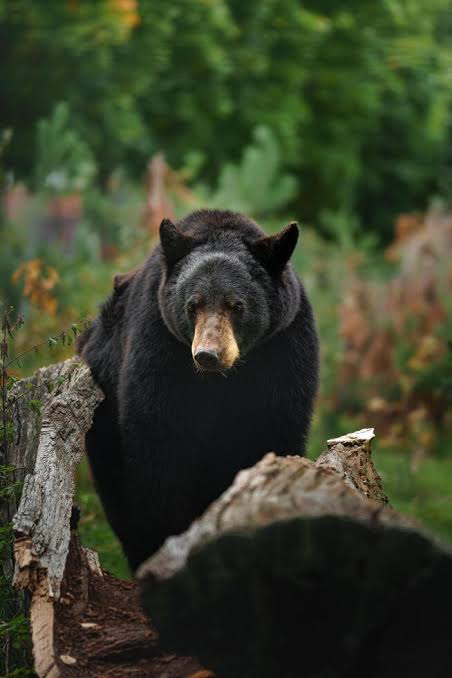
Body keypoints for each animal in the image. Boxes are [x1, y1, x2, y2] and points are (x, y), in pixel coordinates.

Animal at [77, 209, 319, 571]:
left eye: (236, 305)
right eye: (193, 305)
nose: (208, 354)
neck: (222, 379)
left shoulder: (283, 350)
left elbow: (272, 430)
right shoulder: (160, 347)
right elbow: (159, 444)